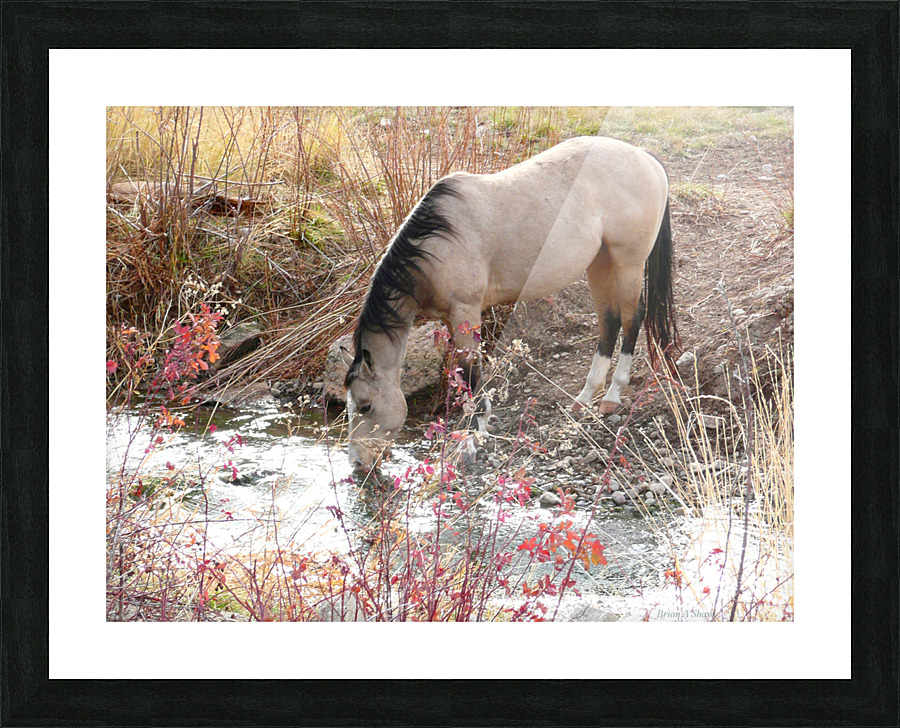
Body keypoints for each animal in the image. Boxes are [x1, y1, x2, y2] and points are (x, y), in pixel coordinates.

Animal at [340, 136, 678, 471]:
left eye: (366, 405)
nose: (357, 461)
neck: (439, 242)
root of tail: (643, 156)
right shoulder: (451, 318)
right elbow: (465, 375)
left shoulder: (465, 311)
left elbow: (470, 374)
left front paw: (470, 439)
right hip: (600, 262)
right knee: (609, 321)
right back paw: (584, 398)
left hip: (628, 262)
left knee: (632, 318)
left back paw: (613, 395)